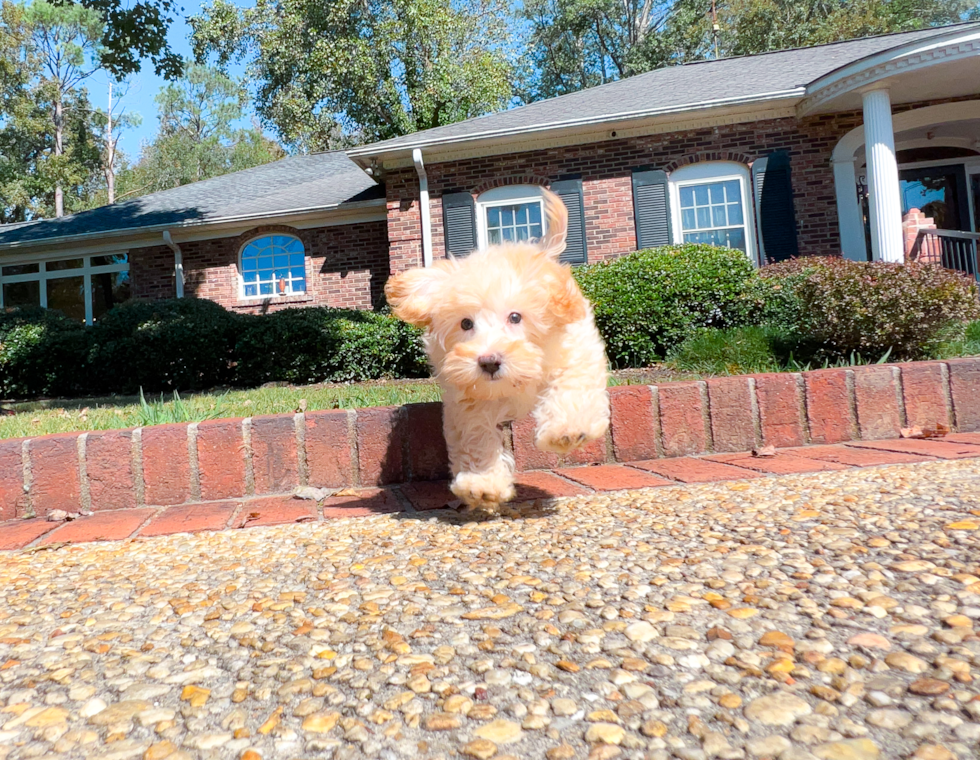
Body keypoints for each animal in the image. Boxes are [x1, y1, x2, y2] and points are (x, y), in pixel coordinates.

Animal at [384, 188, 608, 512]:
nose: (488, 361)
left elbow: (572, 385)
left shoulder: (574, 351)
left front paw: (565, 430)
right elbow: (477, 434)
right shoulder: (468, 398)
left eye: (515, 317)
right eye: (466, 323)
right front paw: (482, 483)